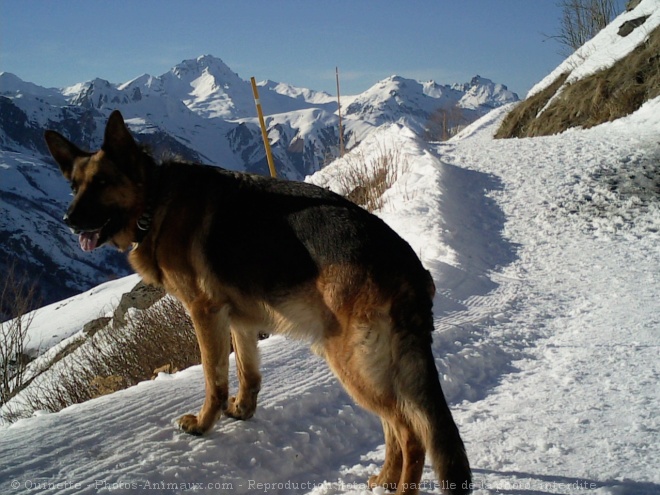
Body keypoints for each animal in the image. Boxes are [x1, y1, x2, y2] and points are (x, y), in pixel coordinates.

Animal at [43, 112, 472, 495]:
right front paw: (241, 411)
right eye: (74, 186)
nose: (67, 219)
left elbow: (213, 378)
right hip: (371, 364)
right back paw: (383, 478)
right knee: (395, 426)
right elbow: (247, 373)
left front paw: (204, 424)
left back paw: (399, 488)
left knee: (410, 432)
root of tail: (407, 262)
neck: (155, 200)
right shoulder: (240, 321)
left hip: (351, 361)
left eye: (102, 182)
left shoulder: (204, 313)